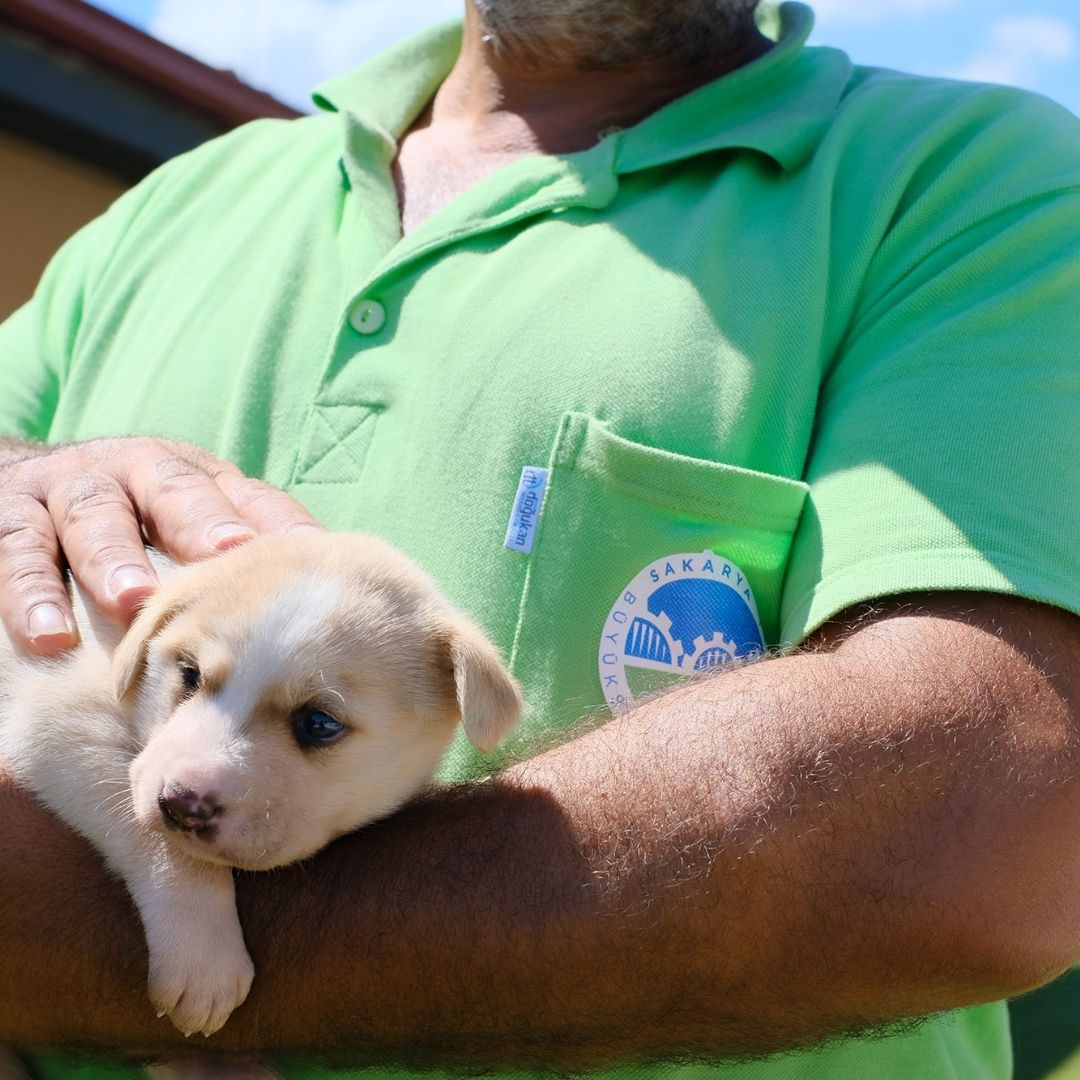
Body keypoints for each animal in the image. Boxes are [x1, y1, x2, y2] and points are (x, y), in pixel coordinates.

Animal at [0, 535, 522, 1041]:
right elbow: (161, 841)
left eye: (318, 723)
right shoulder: (59, 716)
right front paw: (203, 959)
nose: (180, 805)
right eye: (189, 674)